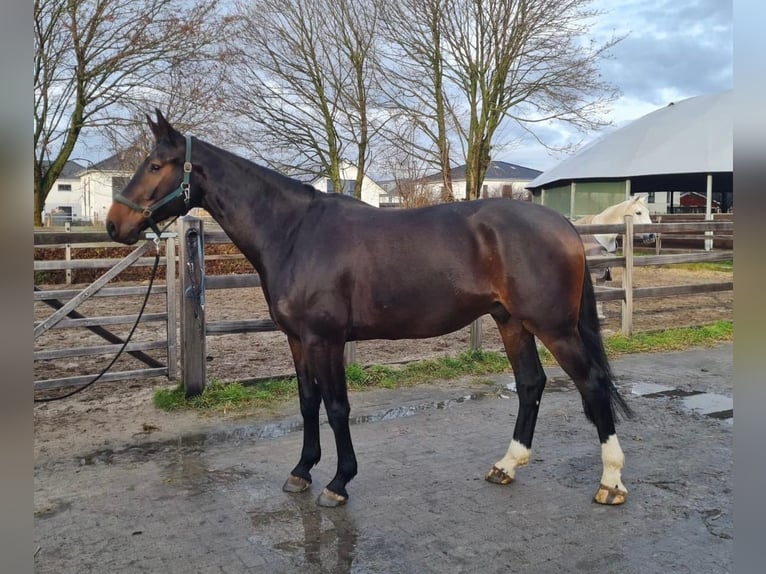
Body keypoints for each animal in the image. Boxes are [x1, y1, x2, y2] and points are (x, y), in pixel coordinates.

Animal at [108, 111, 636, 508]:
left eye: (156, 165)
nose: (115, 225)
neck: (295, 232)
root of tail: (564, 227)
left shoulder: (325, 339)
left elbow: (337, 407)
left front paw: (339, 483)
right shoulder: (297, 339)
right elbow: (307, 403)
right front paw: (302, 471)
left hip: (554, 327)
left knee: (591, 383)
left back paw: (610, 482)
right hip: (511, 322)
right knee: (530, 384)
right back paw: (506, 465)